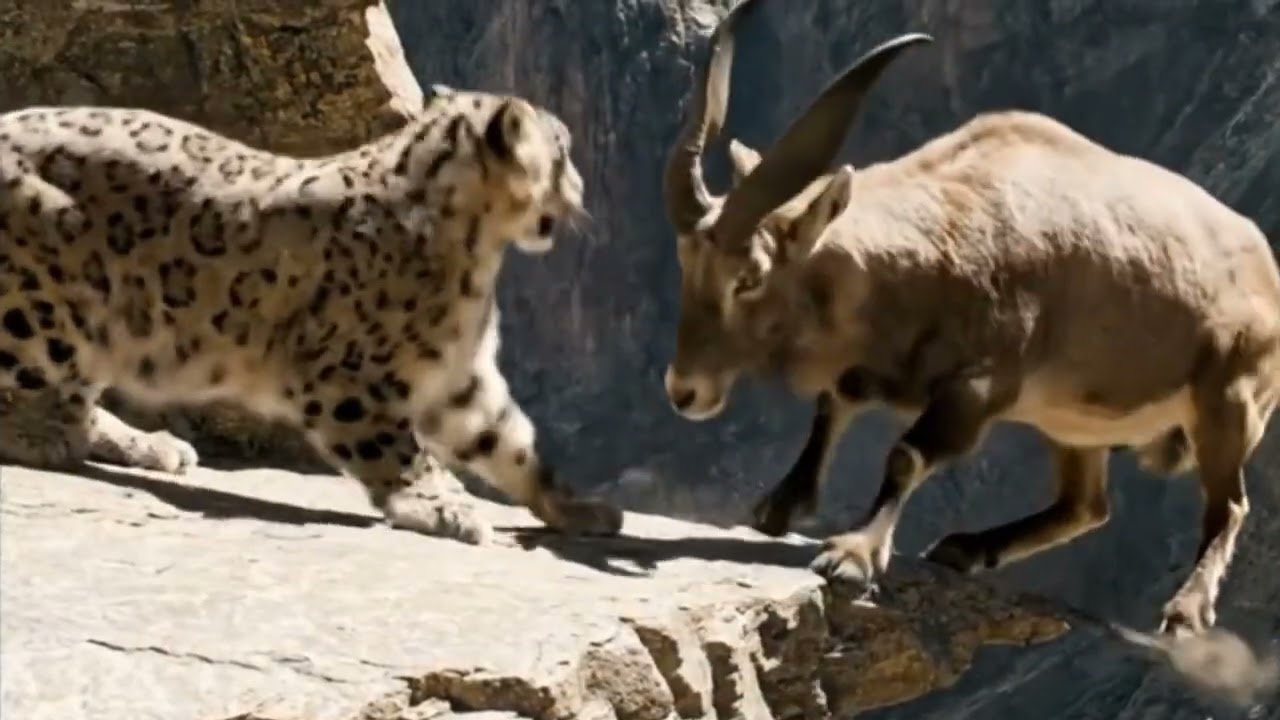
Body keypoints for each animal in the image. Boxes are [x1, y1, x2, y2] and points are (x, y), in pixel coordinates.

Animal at [0, 84, 623, 544]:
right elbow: (397, 449)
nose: (582, 188)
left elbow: (509, 442)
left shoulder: (462, 378)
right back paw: (46, 437)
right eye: (562, 153)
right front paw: (440, 506)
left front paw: (580, 506)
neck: (476, 260)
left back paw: (151, 445)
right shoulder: (352, 377)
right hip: (43, 311)